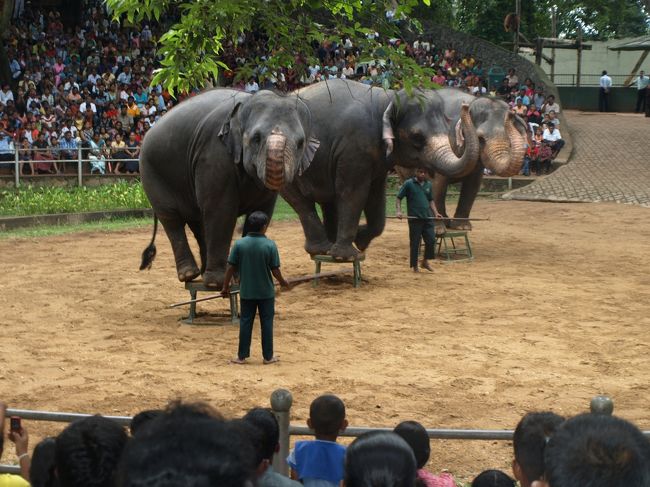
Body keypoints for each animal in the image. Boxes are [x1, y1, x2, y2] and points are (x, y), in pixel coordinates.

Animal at [140, 88, 318, 288]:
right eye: (256, 138)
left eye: (300, 143)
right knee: (171, 218)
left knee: (198, 221)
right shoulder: (214, 153)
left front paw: (239, 277)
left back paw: (205, 273)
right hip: (151, 172)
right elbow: (221, 211)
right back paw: (190, 275)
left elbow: (261, 211)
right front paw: (216, 283)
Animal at [280, 78, 478, 262]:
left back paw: (329, 246)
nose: (465, 106)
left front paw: (360, 240)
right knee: (301, 202)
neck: (387, 98)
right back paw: (322, 250)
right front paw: (348, 256)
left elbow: (376, 198)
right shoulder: (354, 148)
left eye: (446, 128)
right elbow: (352, 193)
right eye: (416, 136)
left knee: (326, 201)